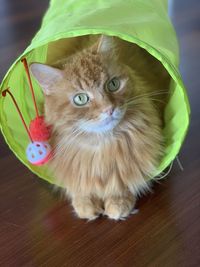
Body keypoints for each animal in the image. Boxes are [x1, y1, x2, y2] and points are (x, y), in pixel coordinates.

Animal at [30, 34, 170, 221]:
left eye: (113, 84)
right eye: (80, 99)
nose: (109, 109)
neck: (102, 145)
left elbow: (125, 181)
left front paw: (118, 202)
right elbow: (79, 186)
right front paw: (85, 203)